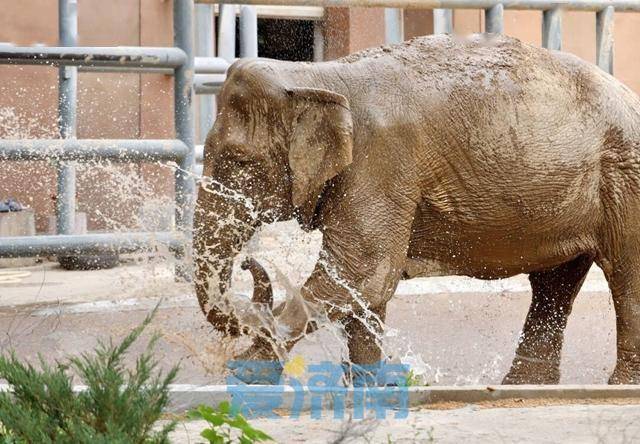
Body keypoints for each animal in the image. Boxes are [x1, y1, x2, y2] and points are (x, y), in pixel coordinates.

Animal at [192, 32, 640, 386]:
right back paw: (523, 385)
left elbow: (360, 272)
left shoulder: (381, 161)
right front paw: (369, 386)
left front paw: (244, 372)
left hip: (625, 178)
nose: (250, 262)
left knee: (623, 274)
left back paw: (619, 385)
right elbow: (367, 286)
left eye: (240, 162)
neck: (315, 76)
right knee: (554, 284)